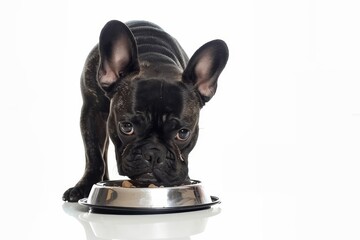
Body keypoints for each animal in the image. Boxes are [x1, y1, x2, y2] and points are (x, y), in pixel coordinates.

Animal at [62, 20, 228, 202]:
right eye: (127, 127)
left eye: (183, 133)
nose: (154, 154)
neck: (154, 59)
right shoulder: (92, 111)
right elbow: (94, 154)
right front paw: (85, 186)